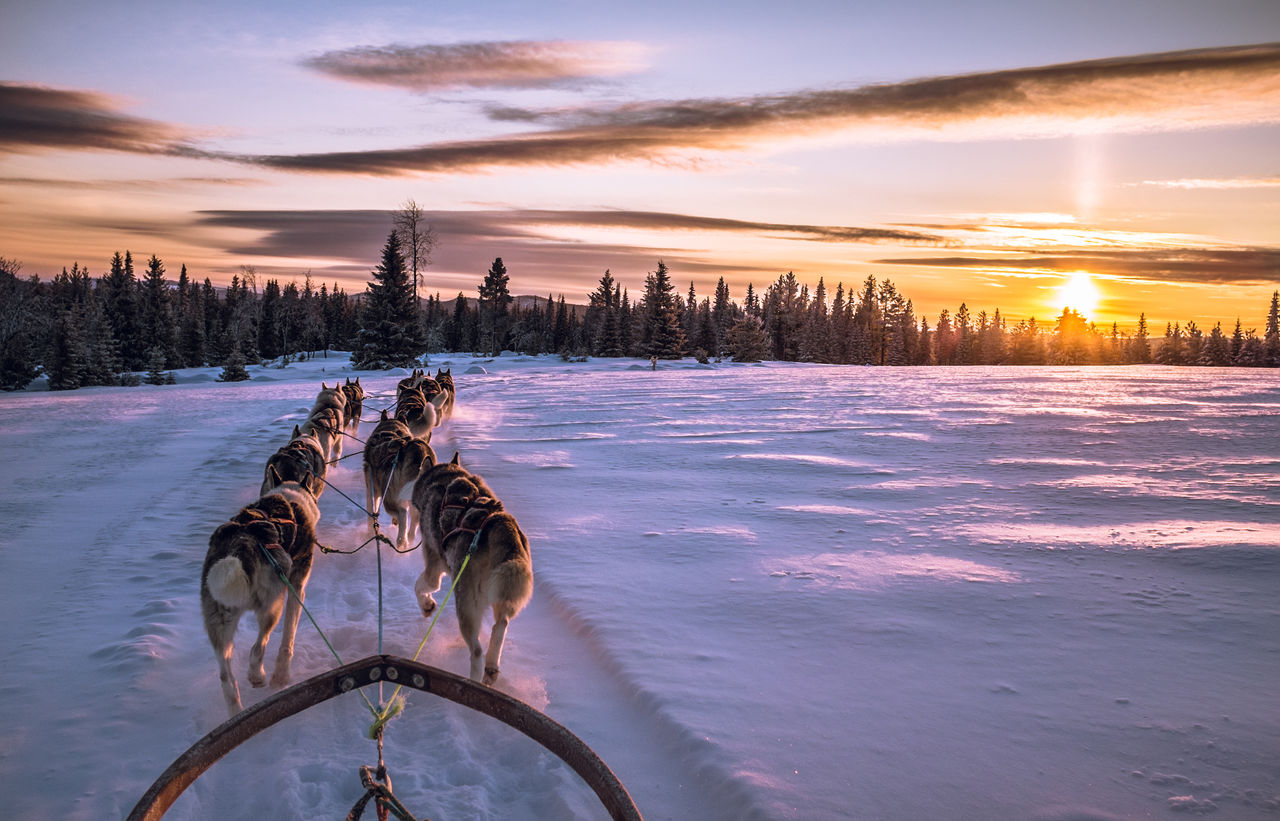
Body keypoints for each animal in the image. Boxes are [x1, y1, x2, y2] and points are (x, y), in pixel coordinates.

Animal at [202, 484, 320, 712]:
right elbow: (288, 637)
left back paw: (237, 712)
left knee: (226, 678)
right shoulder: (297, 588)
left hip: (218, 625)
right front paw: (282, 675)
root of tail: (239, 546)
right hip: (273, 607)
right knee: (257, 648)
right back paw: (258, 676)